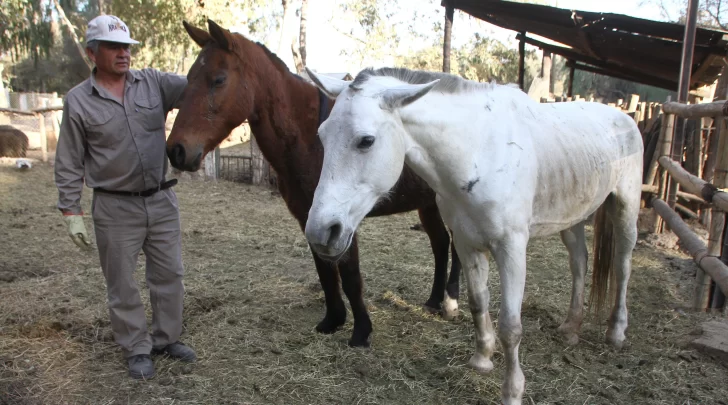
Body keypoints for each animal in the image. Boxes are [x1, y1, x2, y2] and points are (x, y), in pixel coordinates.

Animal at [167, 19, 458, 348]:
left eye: (218, 79)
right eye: (189, 78)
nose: (176, 150)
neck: (308, 138)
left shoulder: (341, 220)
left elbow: (350, 275)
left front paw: (361, 332)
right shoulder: (312, 217)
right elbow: (325, 271)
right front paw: (332, 320)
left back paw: (450, 302)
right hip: (428, 203)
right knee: (440, 244)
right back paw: (434, 301)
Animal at [302, 67, 644, 404]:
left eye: (366, 141)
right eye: (322, 136)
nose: (320, 232)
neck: (479, 151)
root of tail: (625, 119)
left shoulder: (511, 249)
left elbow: (511, 326)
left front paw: (512, 392)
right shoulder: (467, 243)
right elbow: (478, 302)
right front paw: (482, 360)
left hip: (625, 210)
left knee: (623, 266)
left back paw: (616, 332)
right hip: (573, 219)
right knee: (579, 264)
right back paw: (571, 327)